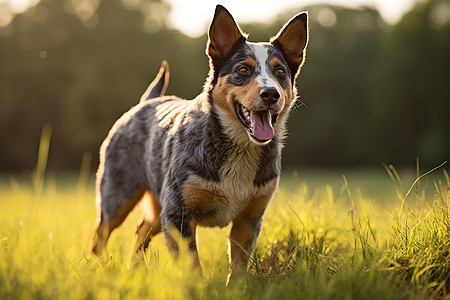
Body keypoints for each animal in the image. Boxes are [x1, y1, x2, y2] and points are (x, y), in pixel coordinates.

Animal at [91, 4, 310, 282]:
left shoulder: (249, 218)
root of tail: (147, 102)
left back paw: (133, 268)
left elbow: (238, 267)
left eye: (280, 72)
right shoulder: (178, 214)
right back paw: (95, 269)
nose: (271, 94)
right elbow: (192, 265)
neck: (238, 147)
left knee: (141, 229)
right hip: (118, 195)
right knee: (100, 234)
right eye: (243, 70)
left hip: (158, 205)